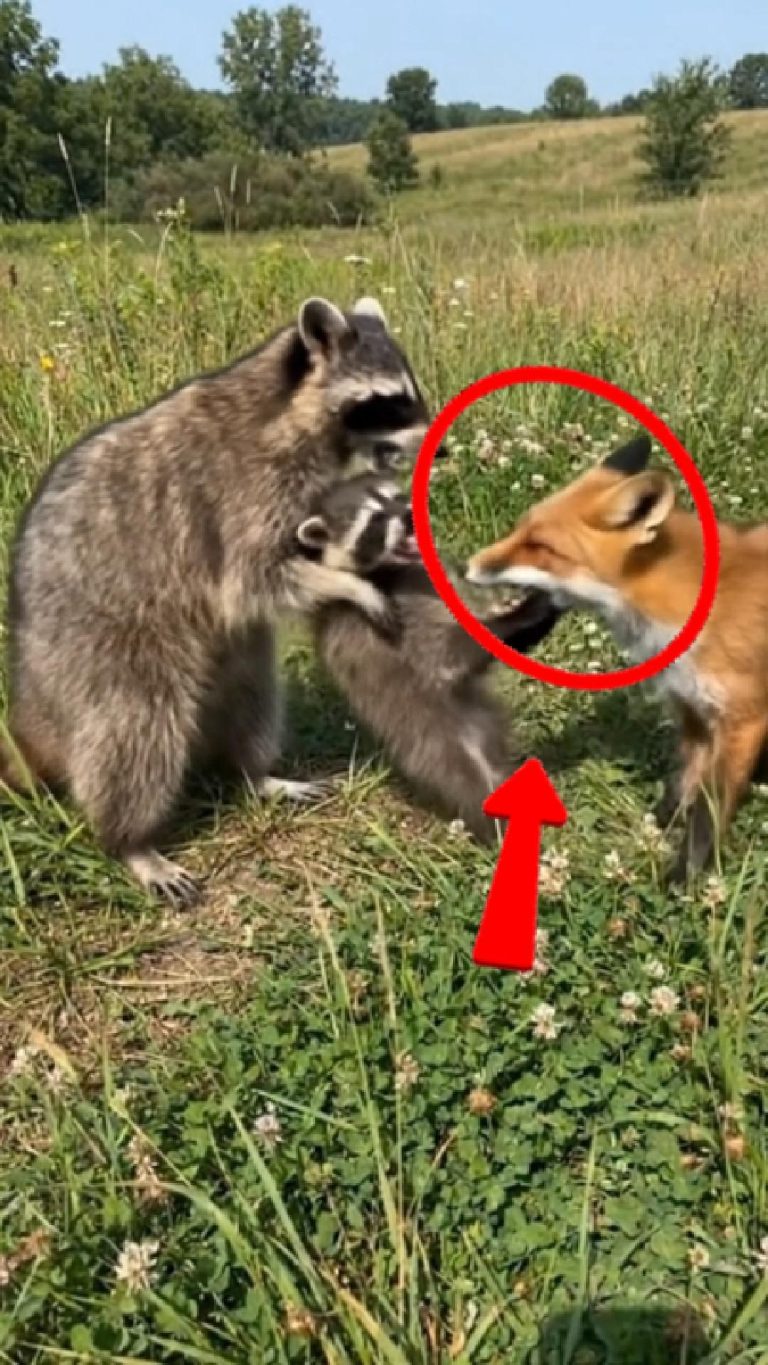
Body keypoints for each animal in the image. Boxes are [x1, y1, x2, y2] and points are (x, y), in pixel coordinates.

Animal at [2, 296, 438, 904]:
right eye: (388, 401)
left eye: (408, 391)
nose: (439, 442)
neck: (291, 410)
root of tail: (32, 691)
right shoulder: (243, 491)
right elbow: (251, 580)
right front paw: (353, 584)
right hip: (101, 646)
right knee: (134, 730)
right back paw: (130, 841)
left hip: (226, 658)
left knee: (253, 695)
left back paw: (253, 771)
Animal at [295, 474, 564, 841]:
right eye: (374, 521)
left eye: (396, 497)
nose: (411, 515)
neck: (394, 567)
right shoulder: (389, 620)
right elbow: (445, 657)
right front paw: (521, 615)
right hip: (434, 741)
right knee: (469, 781)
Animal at [466, 431, 768, 880]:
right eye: (520, 530)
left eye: (540, 546)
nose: (467, 566)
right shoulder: (692, 708)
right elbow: (682, 785)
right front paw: (656, 831)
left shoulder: (742, 721)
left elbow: (707, 816)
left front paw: (684, 880)